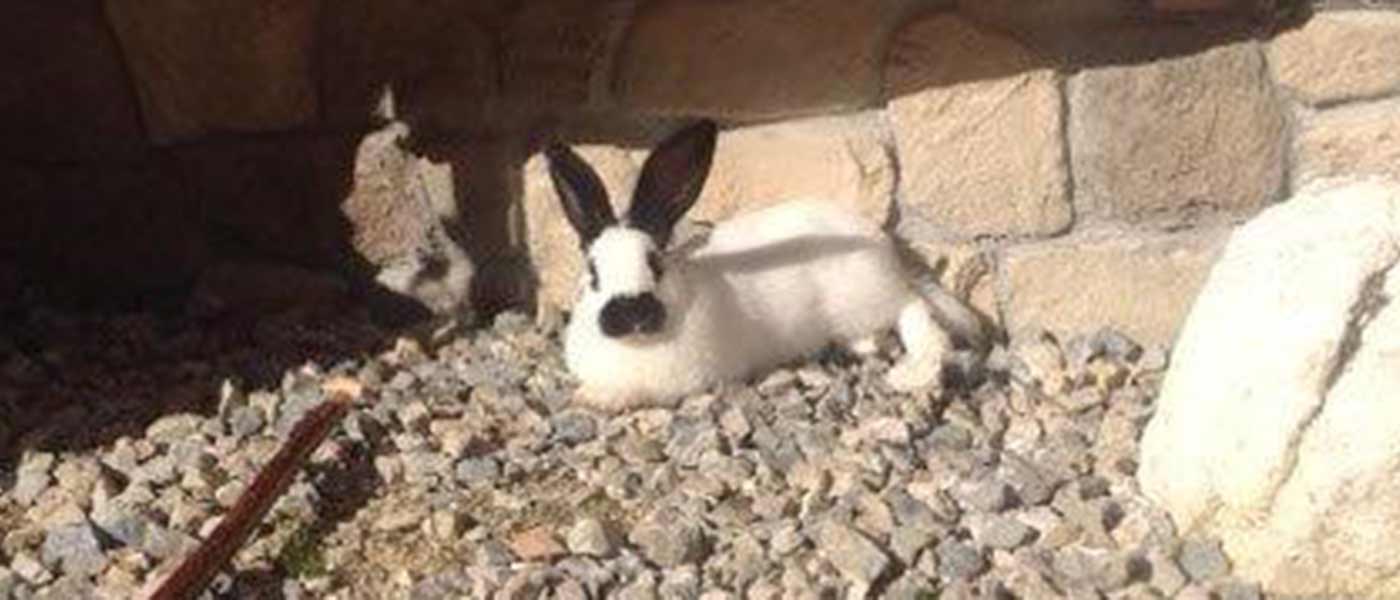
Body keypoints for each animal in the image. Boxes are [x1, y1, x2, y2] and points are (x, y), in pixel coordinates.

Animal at [546, 121, 985, 411]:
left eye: (655, 263)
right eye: (593, 273)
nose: (632, 312)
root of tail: (882, 245)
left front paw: (594, 398)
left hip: (867, 297)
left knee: (914, 308)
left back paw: (912, 372)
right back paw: (863, 346)